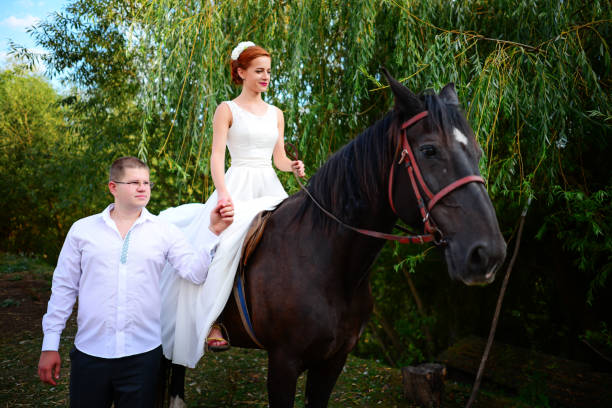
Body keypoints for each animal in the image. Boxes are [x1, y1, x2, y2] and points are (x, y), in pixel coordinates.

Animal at [159, 71, 506, 408]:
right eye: (429, 150)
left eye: (477, 152)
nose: (488, 253)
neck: (327, 263)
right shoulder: (283, 362)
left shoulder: (333, 362)